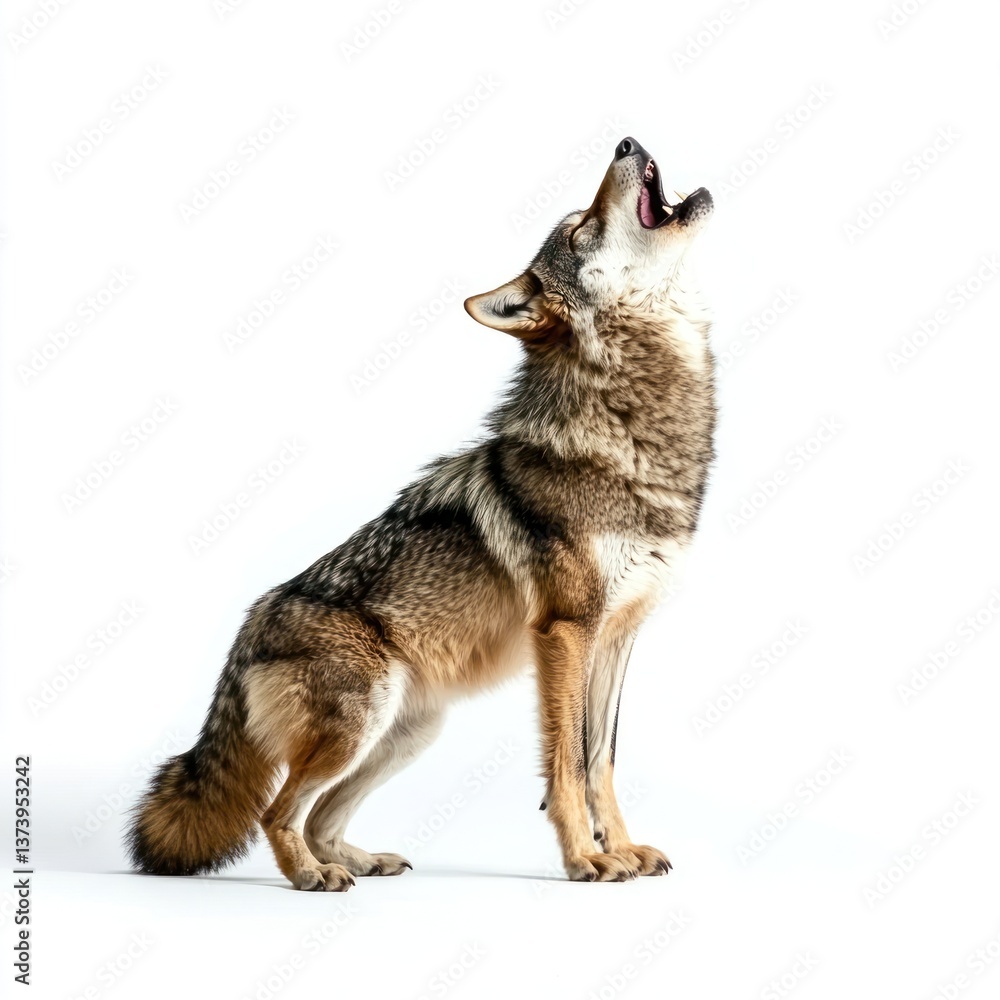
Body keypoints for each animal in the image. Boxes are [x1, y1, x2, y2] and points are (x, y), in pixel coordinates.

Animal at [127, 136, 716, 889]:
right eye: (580, 229)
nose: (627, 142)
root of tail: (248, 629)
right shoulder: (565, 633)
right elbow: (565, 762)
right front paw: (585, 858)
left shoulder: (618, 636)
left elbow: (600, 759)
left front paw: (622, 847)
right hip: (363, 722)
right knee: (278, 812)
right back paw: (312, 876)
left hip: (407, 734)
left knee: (319, 817)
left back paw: (359, 860)